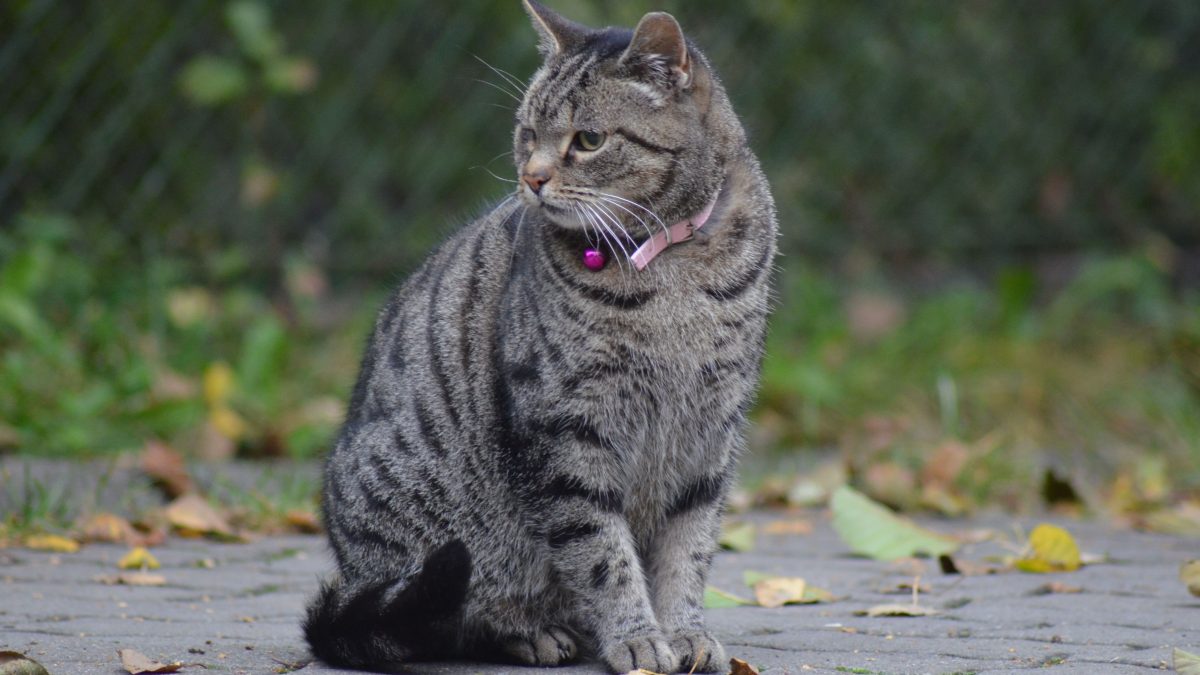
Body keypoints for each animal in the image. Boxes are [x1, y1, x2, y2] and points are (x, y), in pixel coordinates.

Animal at [302, 2, 777, 667]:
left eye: (589, 139)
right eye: (528, 132)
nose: (531, 178)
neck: (671, 267)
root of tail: (351, 573)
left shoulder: (709, 436)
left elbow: (689, 551)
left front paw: (686, 632)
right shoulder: (565, 431)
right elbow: (602, 554)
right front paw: (637, 638)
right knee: (446, 616)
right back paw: (534, 632)